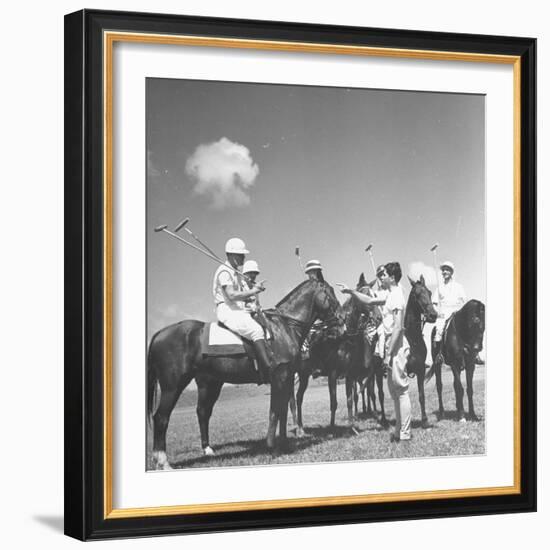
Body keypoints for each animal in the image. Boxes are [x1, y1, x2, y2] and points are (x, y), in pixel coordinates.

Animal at [147, 278, 344, 472]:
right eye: (330, 293)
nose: (342, 321)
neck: (283, 328)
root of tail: (159, 333)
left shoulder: (287, 378)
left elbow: (282, 411)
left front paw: (284, 443)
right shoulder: (279, 378)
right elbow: (274, 411)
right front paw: (272, 446)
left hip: (210, 384)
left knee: (202, 412)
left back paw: (207, 450)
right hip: (173, 387)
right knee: (161, 417)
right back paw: (163, 462)